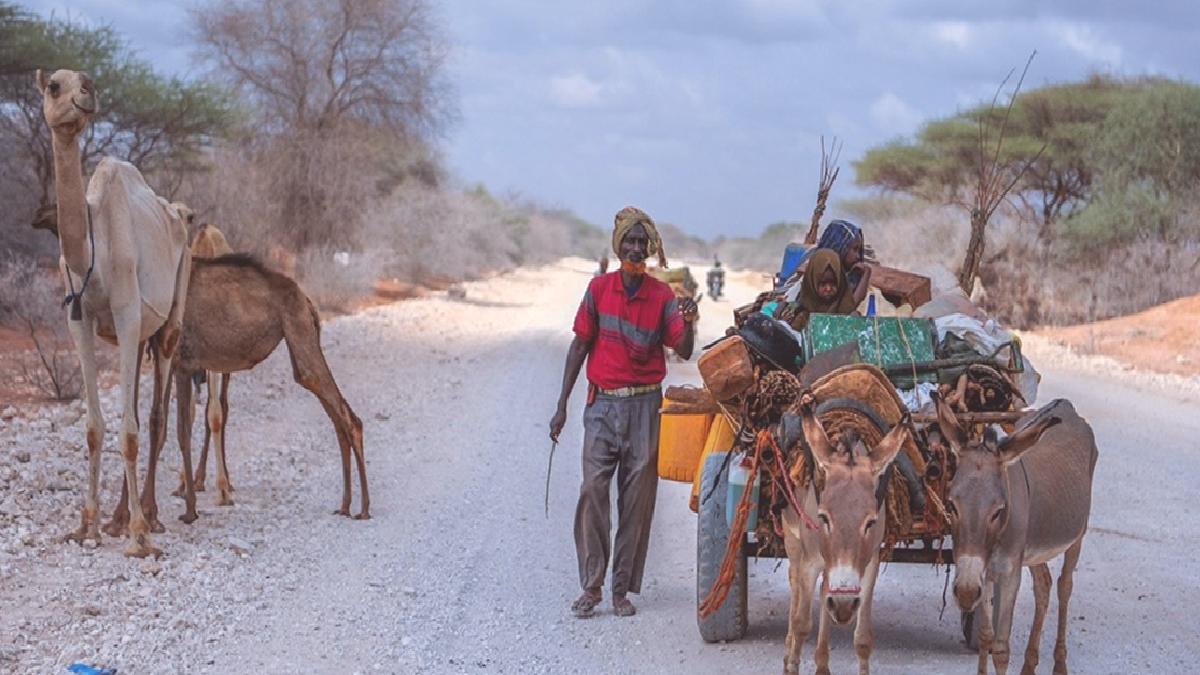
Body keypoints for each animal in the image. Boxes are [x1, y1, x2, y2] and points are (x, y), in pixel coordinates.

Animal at [38, 68, 189, 554]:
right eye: (54, 86)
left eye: (85, 80)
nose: (86, 93)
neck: (93, 252)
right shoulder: (79, 320)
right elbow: (95, 427)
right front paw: (87, 524)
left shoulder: (124, 312)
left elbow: (131, 430)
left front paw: (140, 536)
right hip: (138, 334)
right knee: (137, 412)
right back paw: (120, 516)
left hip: (170, 317)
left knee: (155, 418)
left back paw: (151, 515)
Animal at [109, 252, 367, 526]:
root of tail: (307, 301)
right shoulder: (168, 358)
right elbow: (157, 426)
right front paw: (128, 516)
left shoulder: (182, 361)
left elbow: (179, 430)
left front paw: (186, 509)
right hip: (301, 342)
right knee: (336, 414)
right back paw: (346, 505)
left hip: (300, 331)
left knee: (348, 417)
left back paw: (363, 507)